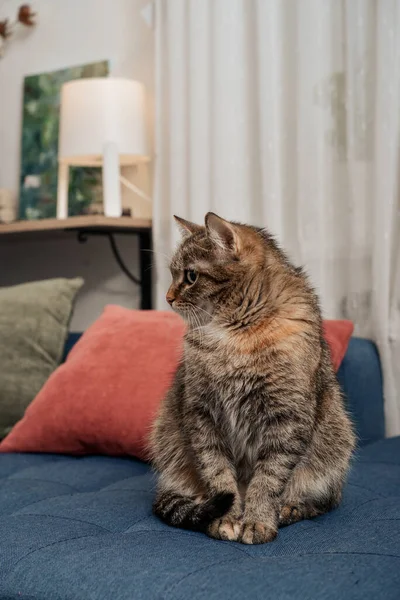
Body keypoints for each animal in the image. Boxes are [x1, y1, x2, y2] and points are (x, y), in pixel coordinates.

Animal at [149, 212, 354, 544]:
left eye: (191, 276)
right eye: (171, 274)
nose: (167, 298)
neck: (236, 334)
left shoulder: (286, 417)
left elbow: (267, 479)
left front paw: (257, 521)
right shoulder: (201, 412)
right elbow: (218, 475)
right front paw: (227, 518)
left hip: (335, 440)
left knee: (322, 500)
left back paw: (289, 509)